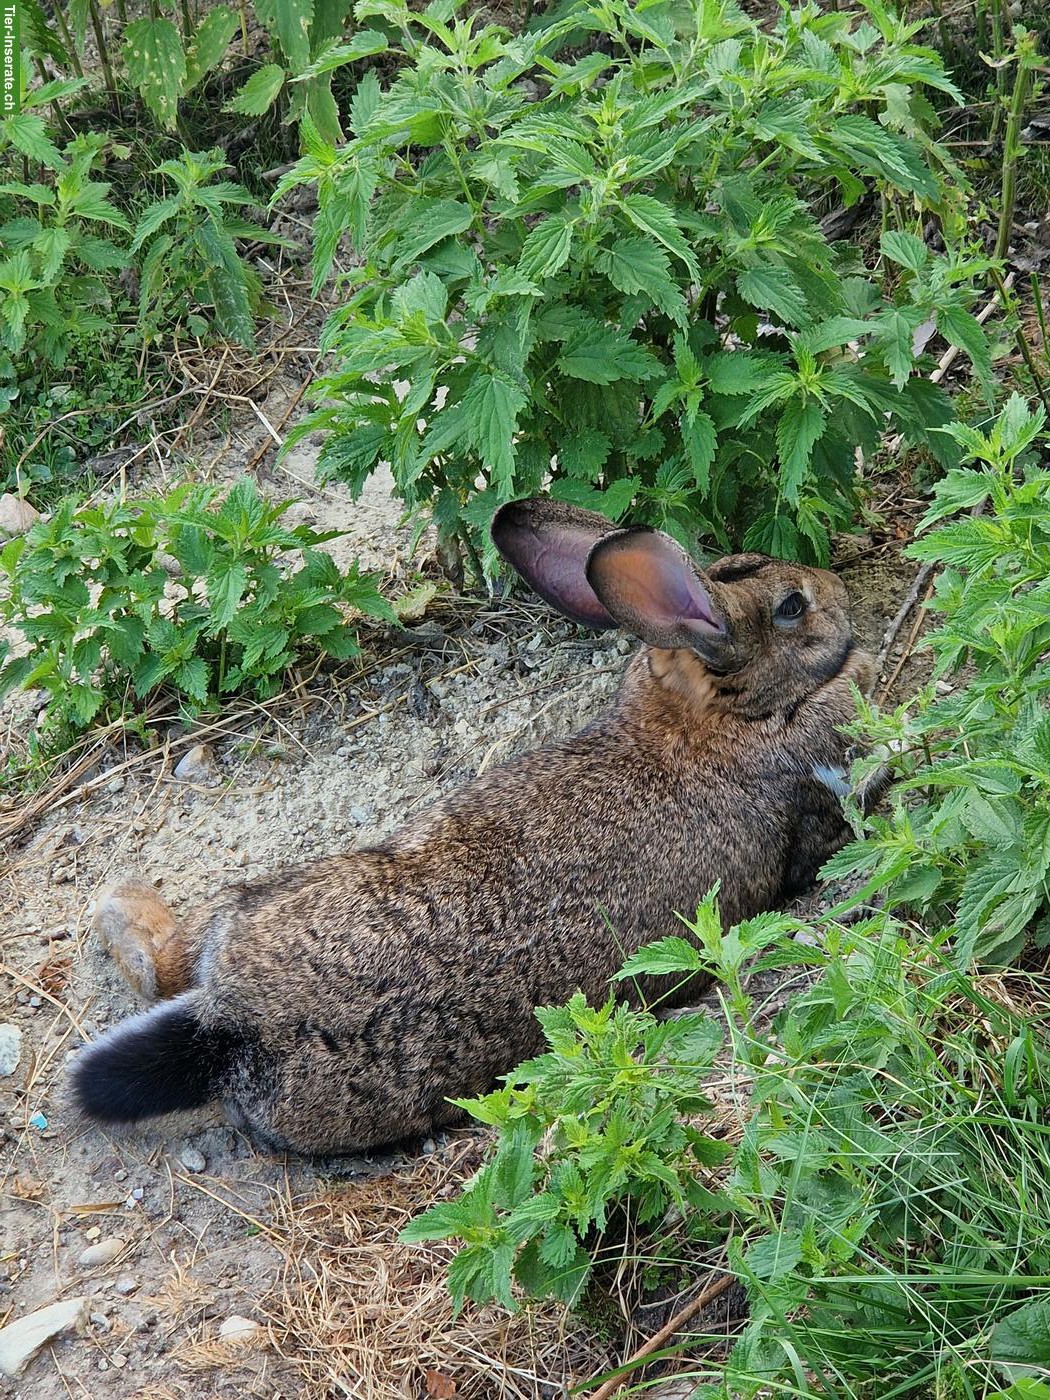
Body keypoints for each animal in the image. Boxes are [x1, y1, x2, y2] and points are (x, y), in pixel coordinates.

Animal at [70, 498, 876, 1158]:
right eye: (792, 607)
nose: (841, 590)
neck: (706, 720)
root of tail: (231, 1027)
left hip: (249, 904)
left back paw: (119, 907)